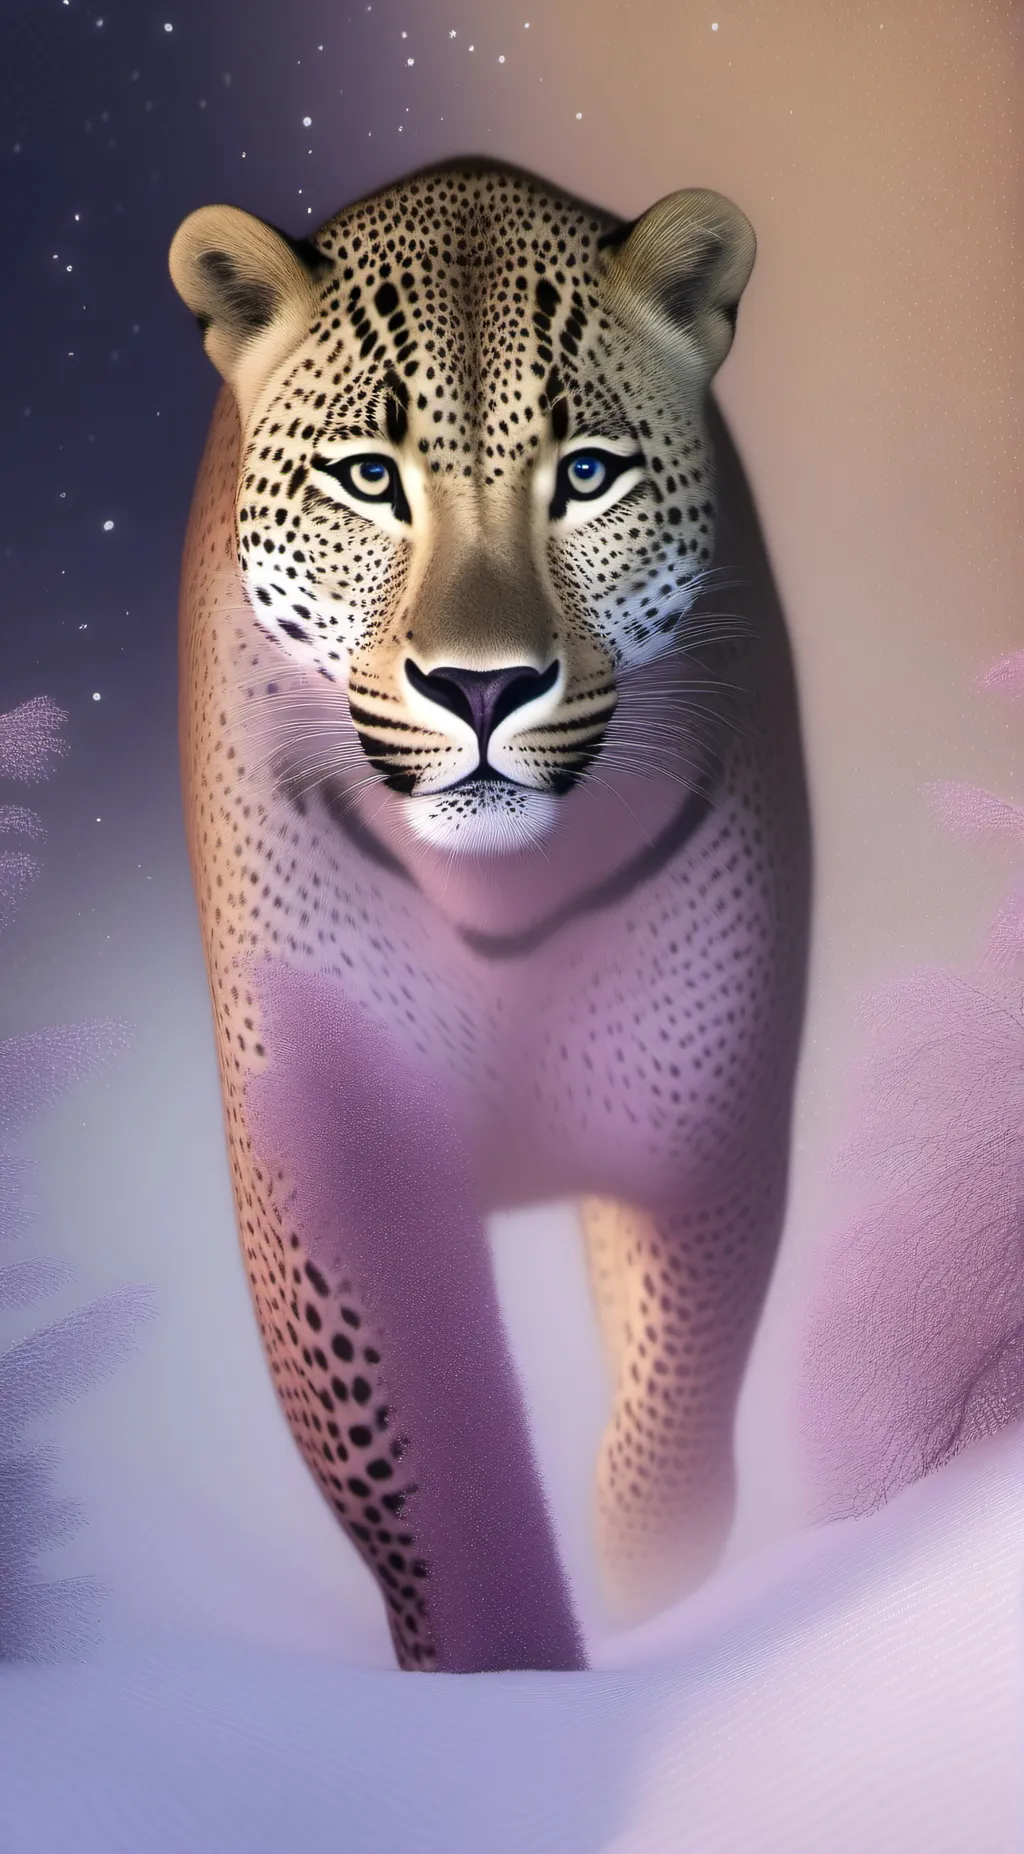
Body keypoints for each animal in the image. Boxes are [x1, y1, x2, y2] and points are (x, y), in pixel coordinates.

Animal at [169, 157, 810, 1673]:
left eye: (584, 476)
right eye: (368, 478)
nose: (480, 687)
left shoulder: (701, 1107)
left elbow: (677, 1402)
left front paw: (659, 1585)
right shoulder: (332, 1141)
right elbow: (431, 1477)